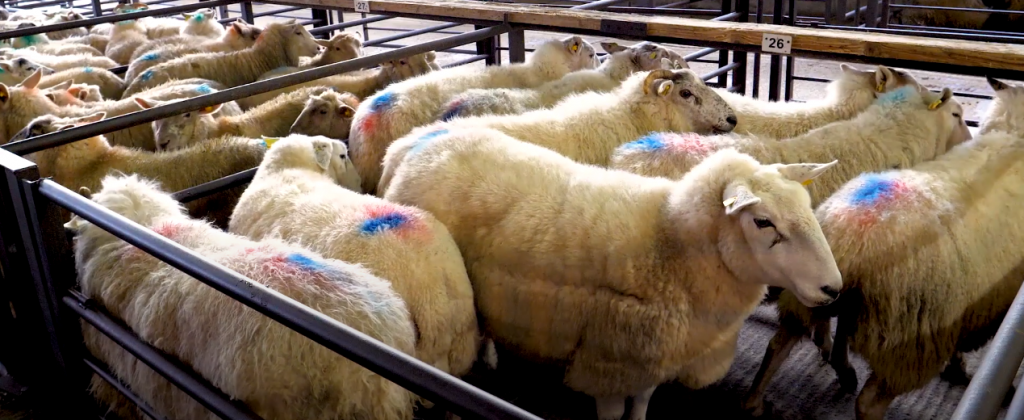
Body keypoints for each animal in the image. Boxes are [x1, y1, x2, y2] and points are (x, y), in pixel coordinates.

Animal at [379, 125, 843, 420]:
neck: (670, 244)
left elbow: (641, 408)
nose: (833, 289)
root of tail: (416, 143)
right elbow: (614, 412)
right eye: (763, 222)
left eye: (806, 206)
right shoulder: (609, 357)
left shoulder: (653, 355)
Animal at [740, 122, 1024, 420]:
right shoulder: (956, 315)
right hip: (906, 340)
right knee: (869, 402)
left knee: (779, 344)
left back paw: (756, 401)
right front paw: (967, 371)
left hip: (811, 292)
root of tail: (852, 239)